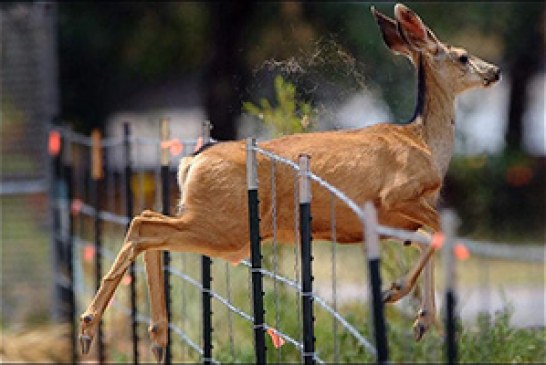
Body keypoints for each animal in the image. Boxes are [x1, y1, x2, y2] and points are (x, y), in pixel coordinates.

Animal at [78, 3, 500, 362]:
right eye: (462, 56)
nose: (494, 70)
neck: (424, 143)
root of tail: (191, 160)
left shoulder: (390, 220)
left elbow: (430, 238)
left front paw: (422, 320)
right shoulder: (395, 195)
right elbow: (441, 233)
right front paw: (394, 293)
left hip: (219, 225)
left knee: (150, 227)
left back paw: (156, 337)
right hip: (223, 225)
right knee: (143, 223)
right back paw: (89, 328)